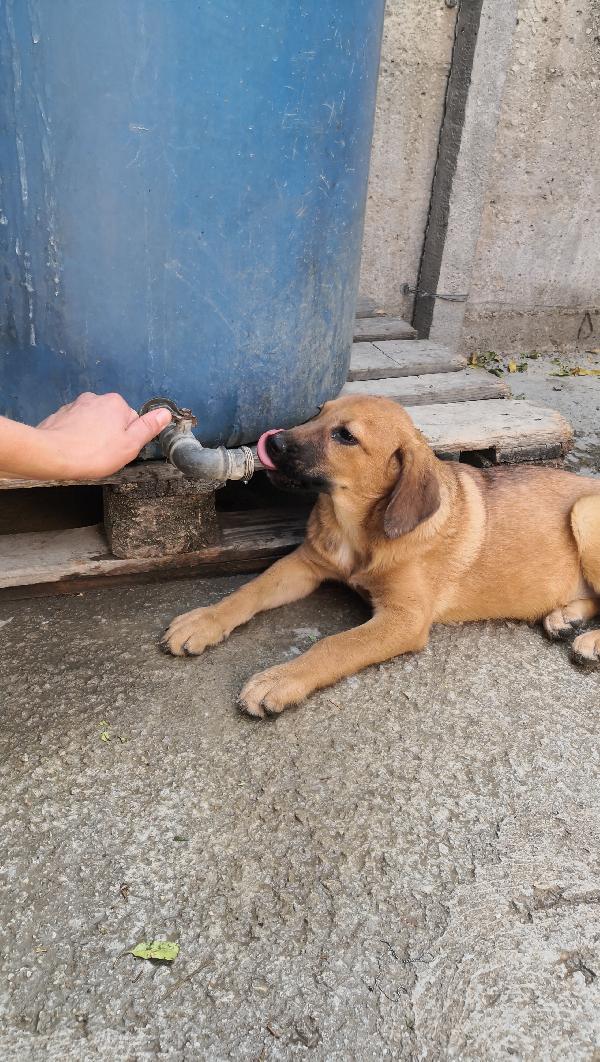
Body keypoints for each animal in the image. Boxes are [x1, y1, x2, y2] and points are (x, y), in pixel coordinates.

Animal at [161, 395, 598, 717]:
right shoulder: (305, 564)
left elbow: (334, 645)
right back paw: (565, 618)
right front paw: (203, 621)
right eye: (317, 411)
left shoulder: (404, 618)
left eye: (345, 436)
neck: (358, 529)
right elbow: (249, 591)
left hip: (585, 514)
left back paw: (588, 641)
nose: (272, 442)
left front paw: (279, 679)